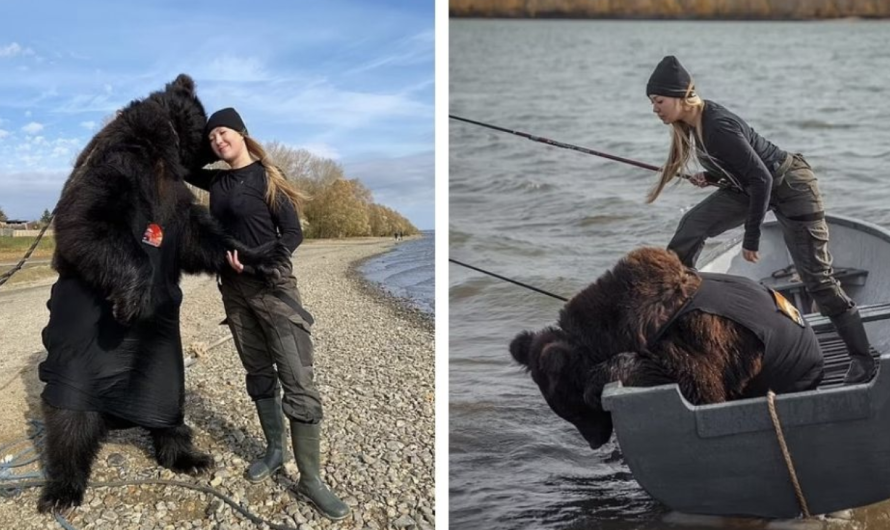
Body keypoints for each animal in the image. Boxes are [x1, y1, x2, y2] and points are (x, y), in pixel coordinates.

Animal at [37, 74, 288, 512]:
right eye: (209, 127)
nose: (219, 144)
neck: (160, 150)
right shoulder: (117, 166)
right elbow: (87, 217)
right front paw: (131, 300)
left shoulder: (176, 200)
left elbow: (202, 238)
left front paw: (262, 258)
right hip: (75, 345)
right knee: (69, 411)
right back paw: (63, 487)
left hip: (160, 348)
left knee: (165, 397)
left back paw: (188, 455)